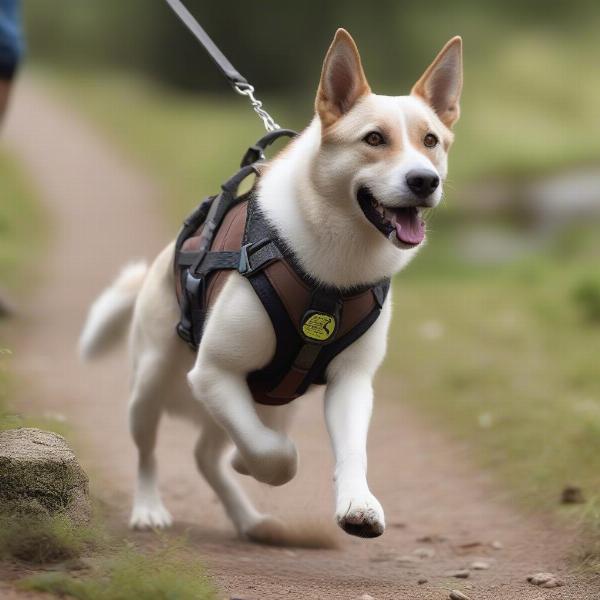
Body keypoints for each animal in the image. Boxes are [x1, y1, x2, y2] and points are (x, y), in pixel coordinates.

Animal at [78, 29, 464, 540]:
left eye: (430, 140)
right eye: (374, 139)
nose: (425, 180)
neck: (335, 264)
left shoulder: (351, 382)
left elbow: (350, 450)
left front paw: (357, 504)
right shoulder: (213, 372)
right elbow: (274, 454)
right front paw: (259, 463)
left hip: (273, 399)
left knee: (206, 456)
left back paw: (250, 520)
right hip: (152, 383)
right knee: (151, 451)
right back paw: (149, 508)